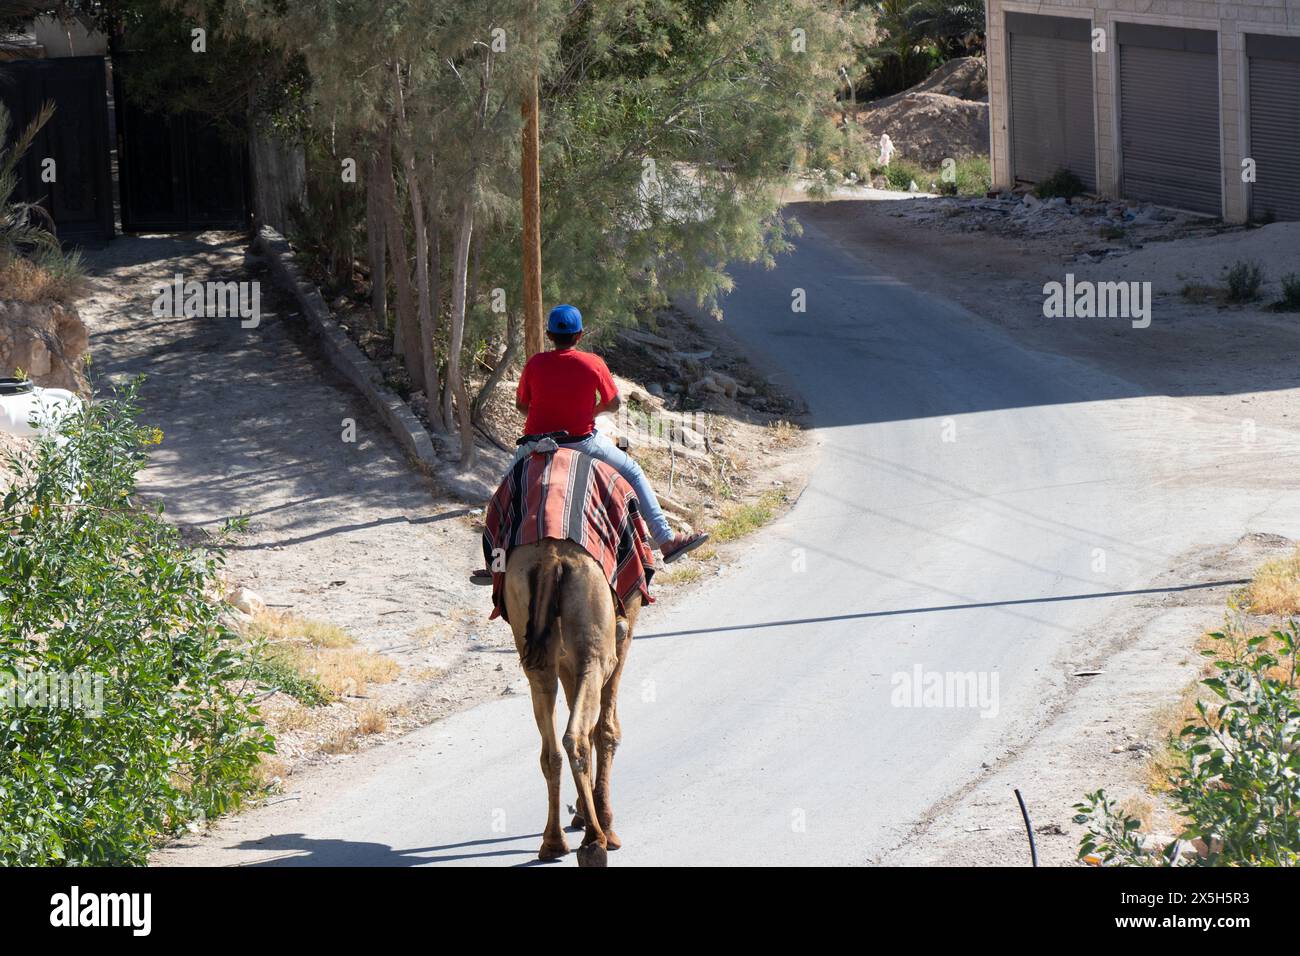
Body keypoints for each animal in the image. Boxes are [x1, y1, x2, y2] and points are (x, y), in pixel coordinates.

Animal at [499, 538, 642, 868]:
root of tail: (551, 559)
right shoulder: (625, 621)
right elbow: (606, 729)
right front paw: (604, 818)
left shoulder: (565, 660)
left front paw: (581, 810)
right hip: (596, 650)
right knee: (577, 736)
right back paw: (595, 841)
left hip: (536, 652)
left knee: (551, 749)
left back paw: (553, 842)